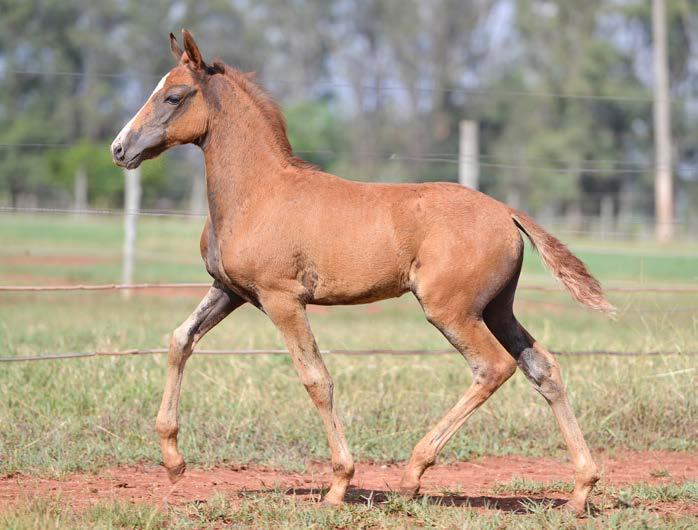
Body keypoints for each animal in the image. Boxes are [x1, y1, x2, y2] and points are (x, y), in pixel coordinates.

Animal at [111, 29, 612, 512]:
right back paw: (580, 490)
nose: (120, 148)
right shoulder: (230, 290)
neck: (259, 193)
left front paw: (338, 484)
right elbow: (180, 340)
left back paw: (413, 474)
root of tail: (507, 212)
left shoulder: (281, 298)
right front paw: (173, 461)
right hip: (497, 309)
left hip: (451, 311)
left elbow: (316, 379)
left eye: (174, 96)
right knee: (541, 367)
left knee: (493, 367)